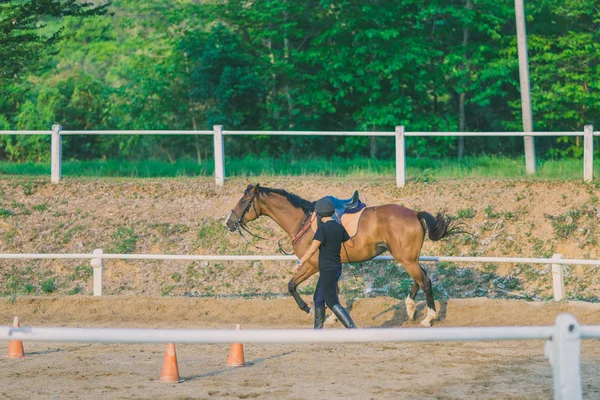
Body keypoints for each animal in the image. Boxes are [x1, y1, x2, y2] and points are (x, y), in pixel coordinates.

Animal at [225, 183, 460, 326]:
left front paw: (308, 309)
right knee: (420, 278)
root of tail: (414, 213)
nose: (228, 222)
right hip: (407, 257)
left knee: (424, 281)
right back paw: (410, 309)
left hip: (406, 258)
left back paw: (428, 318)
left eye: (244, 201)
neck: (303, 222)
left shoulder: (312, 265)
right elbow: (333, 293)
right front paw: (331, 318)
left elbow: (292, 286)